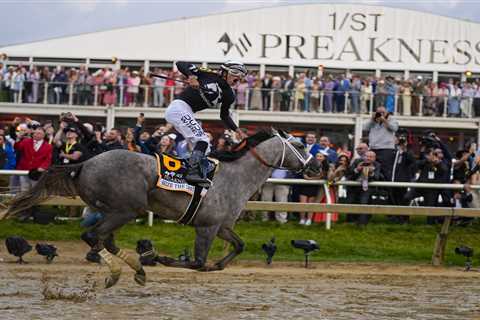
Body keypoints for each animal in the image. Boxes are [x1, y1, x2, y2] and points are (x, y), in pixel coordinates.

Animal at [5, 129, 318, 288]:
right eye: (300, 144)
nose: (317, 166)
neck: (236, 175)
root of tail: (85, 163)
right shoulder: (207, 227)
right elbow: (197, 262)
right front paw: (162, 258)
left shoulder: (222, 226)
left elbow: (238, 246)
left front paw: (217, 264)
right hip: (125, 209)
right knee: (93, 238)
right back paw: (122, 269)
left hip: (113, 210)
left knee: (103, 239)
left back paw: (137, 268)